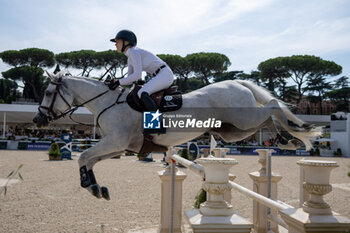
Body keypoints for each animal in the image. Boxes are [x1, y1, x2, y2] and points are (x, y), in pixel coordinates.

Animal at [33, 71, 322, 200]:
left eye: (47, 93)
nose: (37, 120)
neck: (107, 101)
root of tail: (237, 82)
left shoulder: (114, 141)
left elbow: (84, 156)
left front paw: (90, 185)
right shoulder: (118, 146)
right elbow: (89, 160)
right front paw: (96, 186)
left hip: (243, 119)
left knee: (273, 105)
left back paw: (295, 133)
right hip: (234, 130)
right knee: (267, 117)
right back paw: (287, 139)